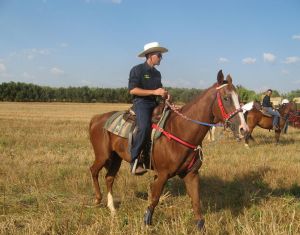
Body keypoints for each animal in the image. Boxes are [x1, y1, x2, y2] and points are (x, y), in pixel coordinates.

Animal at [88, 70, 248, 231]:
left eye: (239, 99)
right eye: (226, 98)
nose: (244, 129)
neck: (180, 130)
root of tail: (96, 119)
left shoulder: (191, 174)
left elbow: (196, 202)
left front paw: (201, 226)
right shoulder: (162, 174)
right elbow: (154, 199)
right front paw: (146, 223)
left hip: (116, 158)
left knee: (109, 178)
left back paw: (112, 208)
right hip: (103, 156)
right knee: (93, 171)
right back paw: (97, 200)